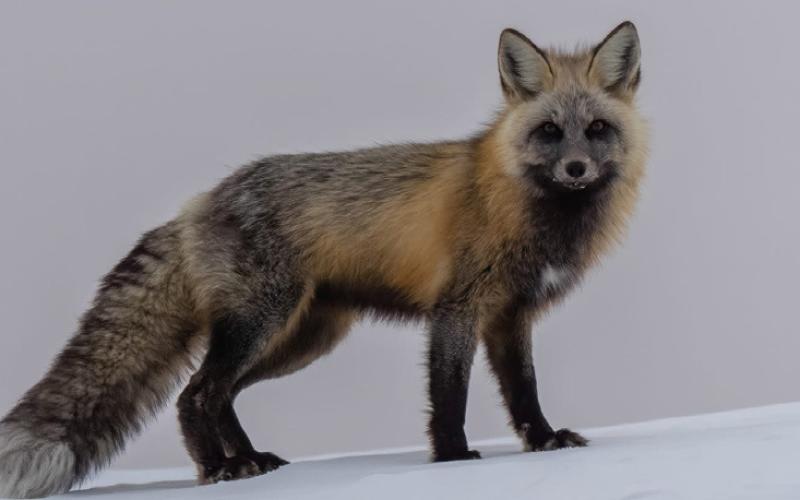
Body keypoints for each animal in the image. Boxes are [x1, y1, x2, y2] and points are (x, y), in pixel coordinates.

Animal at [0, 21, 646, 498]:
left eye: (596, 128)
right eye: (549, 132)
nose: (576, 169)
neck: (527, 208)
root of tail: (197, 203)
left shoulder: (512, 315)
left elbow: (524, 393)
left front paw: (543, 441)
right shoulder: (457, 309)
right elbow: (449, 395)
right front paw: (453, 458)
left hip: (302, 339)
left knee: (221, 394)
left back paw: (249, 458)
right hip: (262, 323)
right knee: (195, 394)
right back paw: (219, 471)